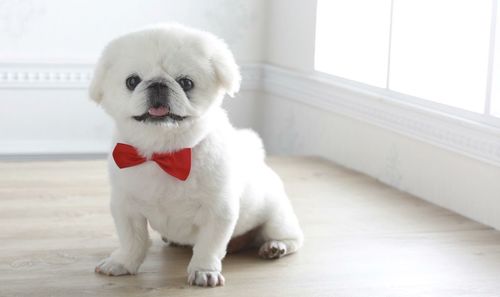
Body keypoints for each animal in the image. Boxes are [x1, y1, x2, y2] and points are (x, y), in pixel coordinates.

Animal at [88, 24, 302, 288]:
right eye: (132, 81)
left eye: (186, 83)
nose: (158, 84)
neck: (165, 154)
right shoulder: (126, 207)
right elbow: (132, 241)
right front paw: (123, 263)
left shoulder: (218, 211)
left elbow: (208, 247)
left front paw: (204, 271)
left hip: (277, 217)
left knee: (290, 237)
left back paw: (275, 246)